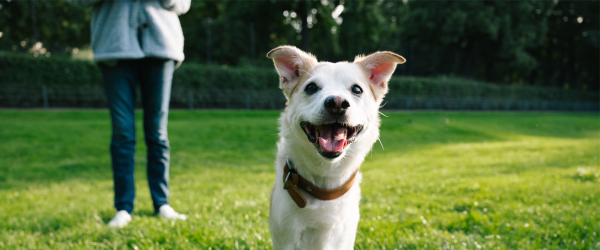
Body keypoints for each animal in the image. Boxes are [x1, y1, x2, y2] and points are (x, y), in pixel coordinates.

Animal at [266, 45, 404, 250]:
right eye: (311, 87)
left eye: (356, 89)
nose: (337, 103)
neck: (325, 182)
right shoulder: (286, 239)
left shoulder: (344, 238)